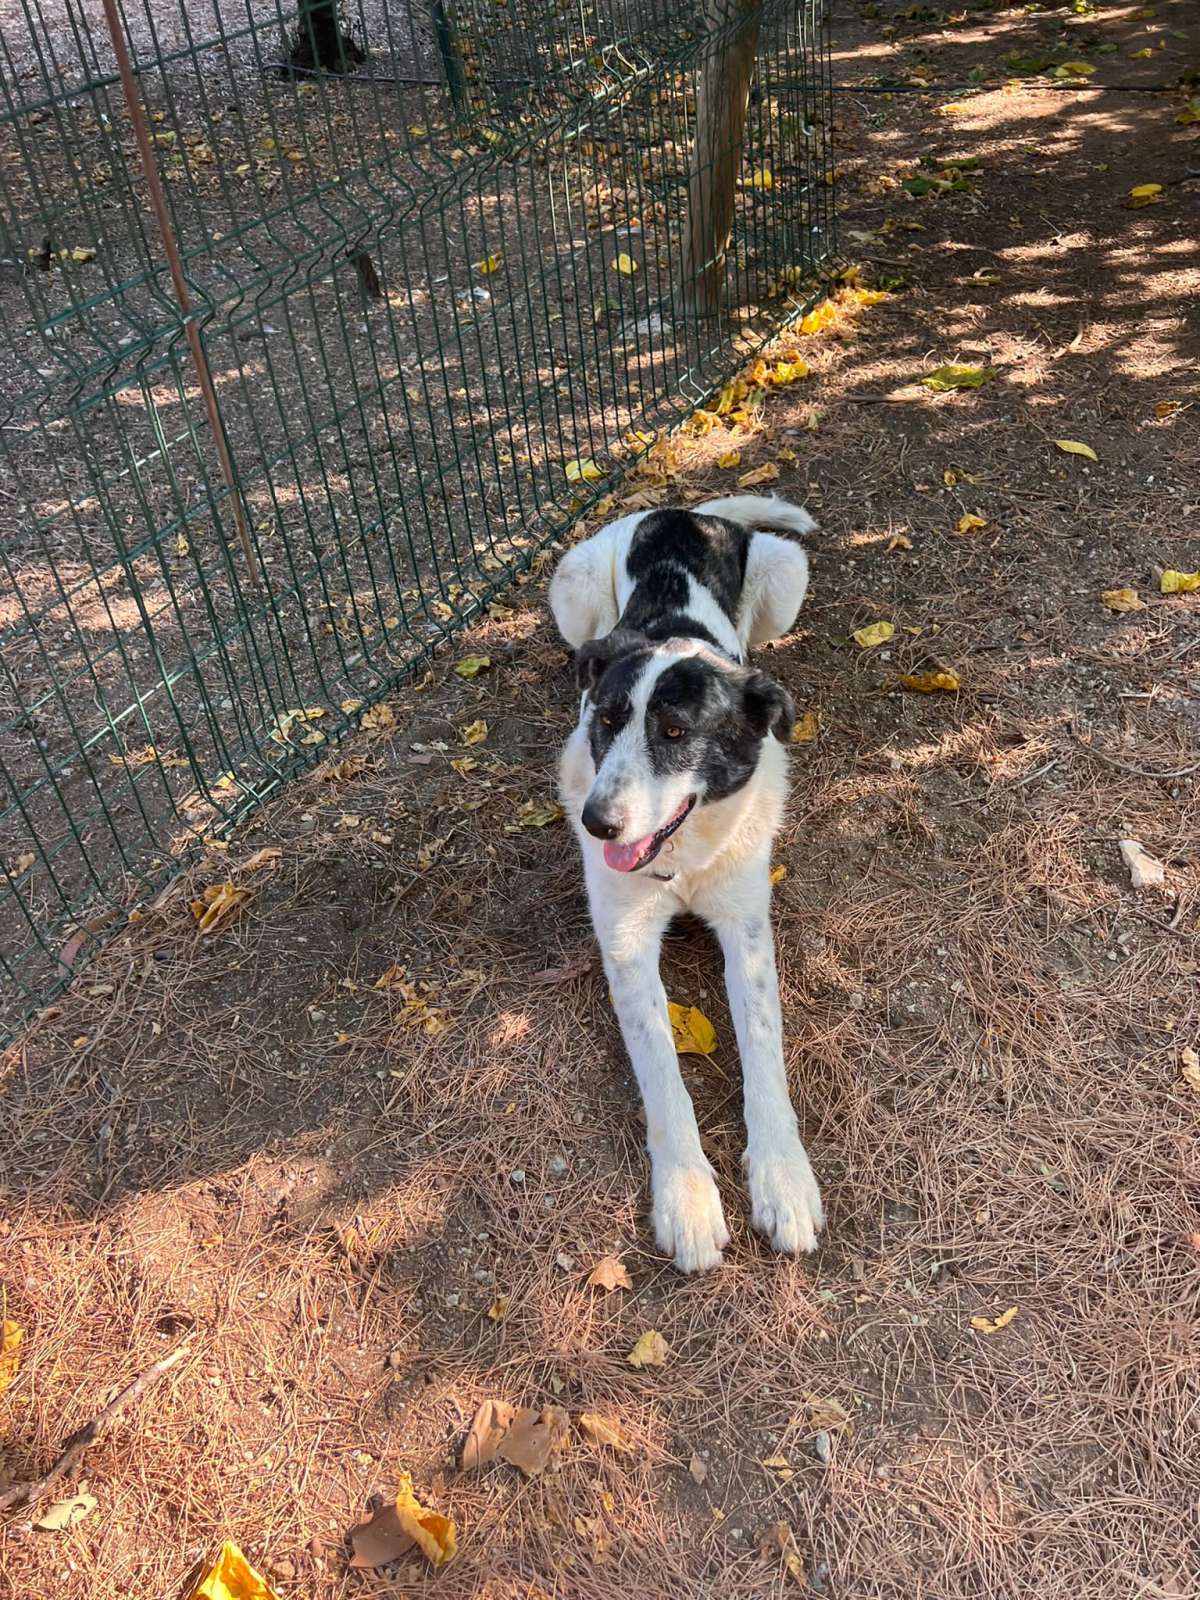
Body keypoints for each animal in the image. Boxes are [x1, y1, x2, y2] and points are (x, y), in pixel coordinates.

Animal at [553, 492, 825, 1267]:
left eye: (675, 733)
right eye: (607, 721)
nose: (596, 824)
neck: (683, 857)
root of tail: (684, 507)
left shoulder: (747, 928)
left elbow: (764, 1046)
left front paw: (783, 1178)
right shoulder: (625, 942)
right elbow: (663, 1077)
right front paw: (688, 1198)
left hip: (787, 575)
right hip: (570, 586)